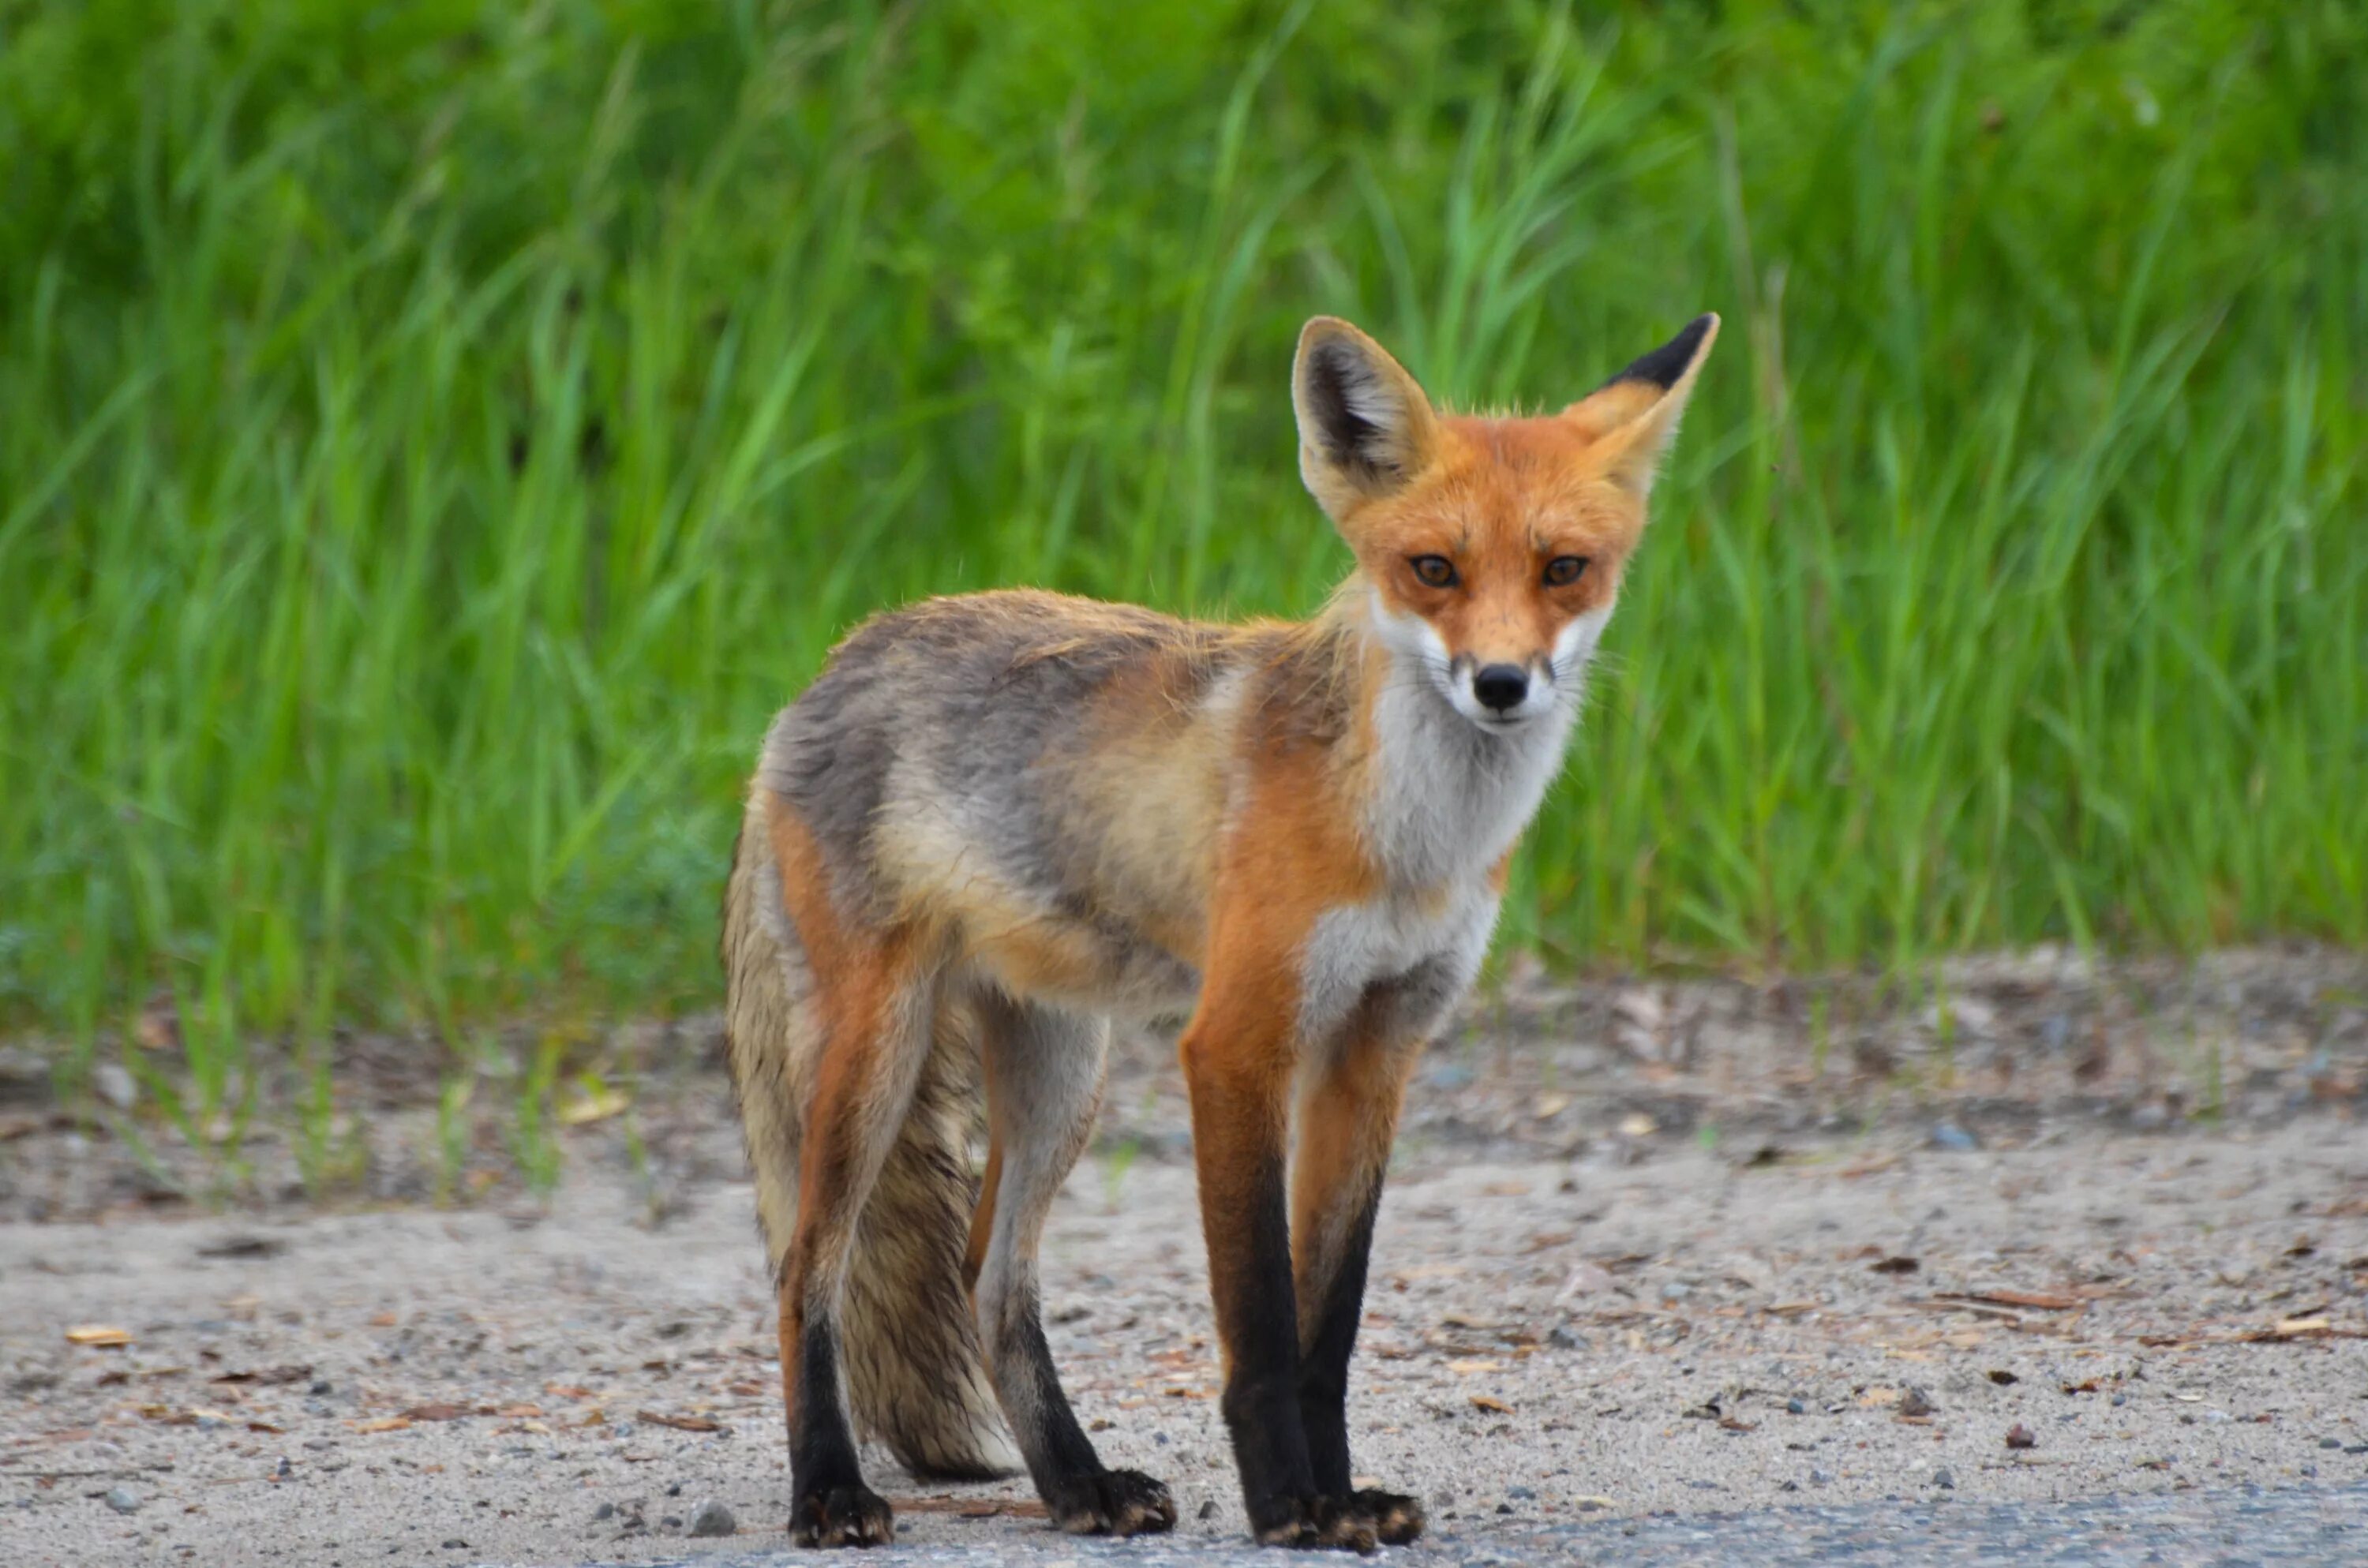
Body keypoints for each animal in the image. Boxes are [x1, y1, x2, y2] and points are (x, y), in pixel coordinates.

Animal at [720, 312, 1724, 1553]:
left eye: (1563, 569)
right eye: (1433, 569)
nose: (1500, 683)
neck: (1409, 842)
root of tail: (822, 671)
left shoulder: (1377, 1046)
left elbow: (1329, 1323)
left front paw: (1343, 1493)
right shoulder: (1241, 1040)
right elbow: (1261, 1316)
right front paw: (1290, 1502)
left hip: (1063, 1067)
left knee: (988, 1273)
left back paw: (1077, 1482)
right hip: (878, 1047)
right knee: (805, 1265)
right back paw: (829, 1488)